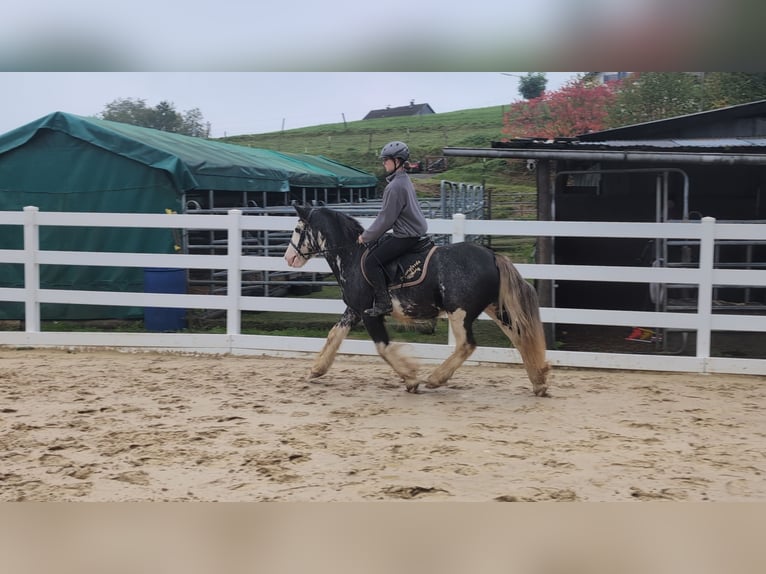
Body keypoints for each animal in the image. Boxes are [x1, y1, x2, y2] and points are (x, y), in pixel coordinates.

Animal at [283, 204, 550, 396]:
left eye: (296, 230)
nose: (289, 258)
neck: (352, 256)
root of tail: (492, 256)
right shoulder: (354, 309)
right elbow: (334, 335)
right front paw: (316, 369)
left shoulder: (370, 313)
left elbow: (382, 346)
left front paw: (411, 378)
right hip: (495, 308)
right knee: (520, 335)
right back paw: (538, 381)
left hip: (460, 312)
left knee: (467, 344)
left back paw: (435, 379)